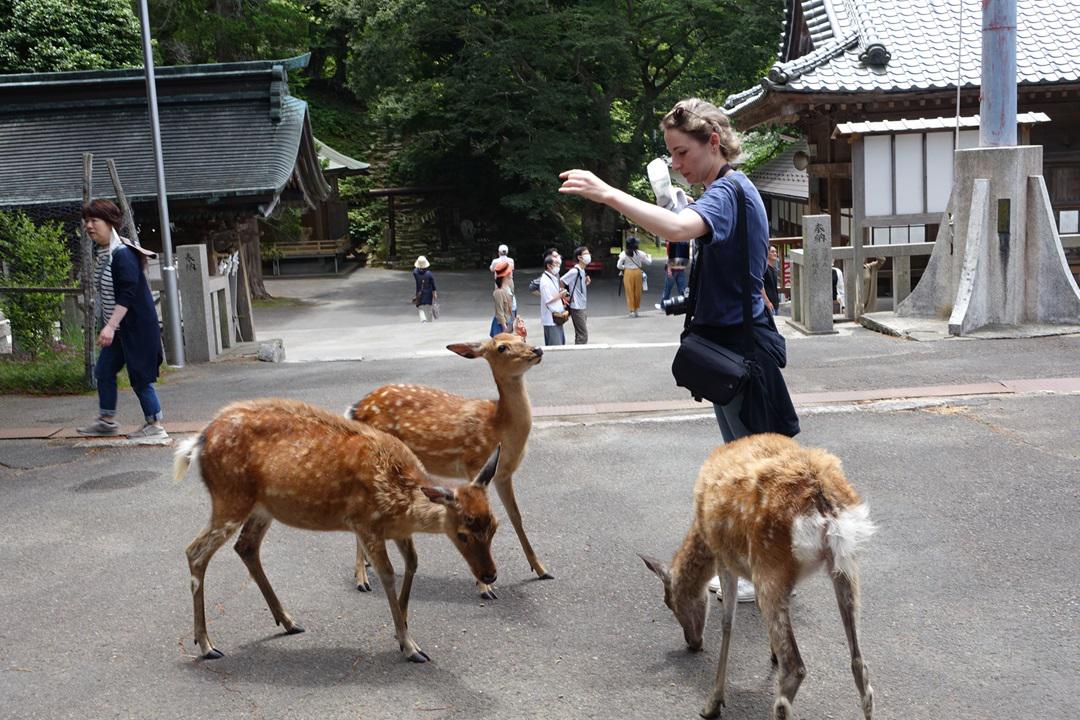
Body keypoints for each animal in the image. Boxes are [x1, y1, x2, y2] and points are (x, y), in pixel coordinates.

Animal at [173, 399, 501, 664]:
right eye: (463, 533)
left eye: (494, 526)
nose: (489, 575)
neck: (399, 498)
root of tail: (197, 443)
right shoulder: (365, 522)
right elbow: (387, 574)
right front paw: (410, 646)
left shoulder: (396, 530)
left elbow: (412, 564)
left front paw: (402, 631)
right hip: (230, 497)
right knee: (195, 551)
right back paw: (206, 644)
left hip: (261, 507)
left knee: (246, 546)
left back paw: (288, 621)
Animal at [349, 334, 544, 600]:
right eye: (502, 347)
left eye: (521, 336)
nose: (537, 350)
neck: (499, 426)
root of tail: (355, 409)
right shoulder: (473, 462)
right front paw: (484, 587)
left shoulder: (503, 474)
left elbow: (516, 516)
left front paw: (541, 569)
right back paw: (362, 578)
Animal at [639, 433, 876, 720]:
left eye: (669, 602)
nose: (692, 643)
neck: (701, 530)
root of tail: (825, 504)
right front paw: (772, 654)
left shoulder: (725, 557)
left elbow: (727, 623)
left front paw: (713, 703)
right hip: (845, 564)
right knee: (859, 666)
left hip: (770, 562)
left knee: (795, 669)